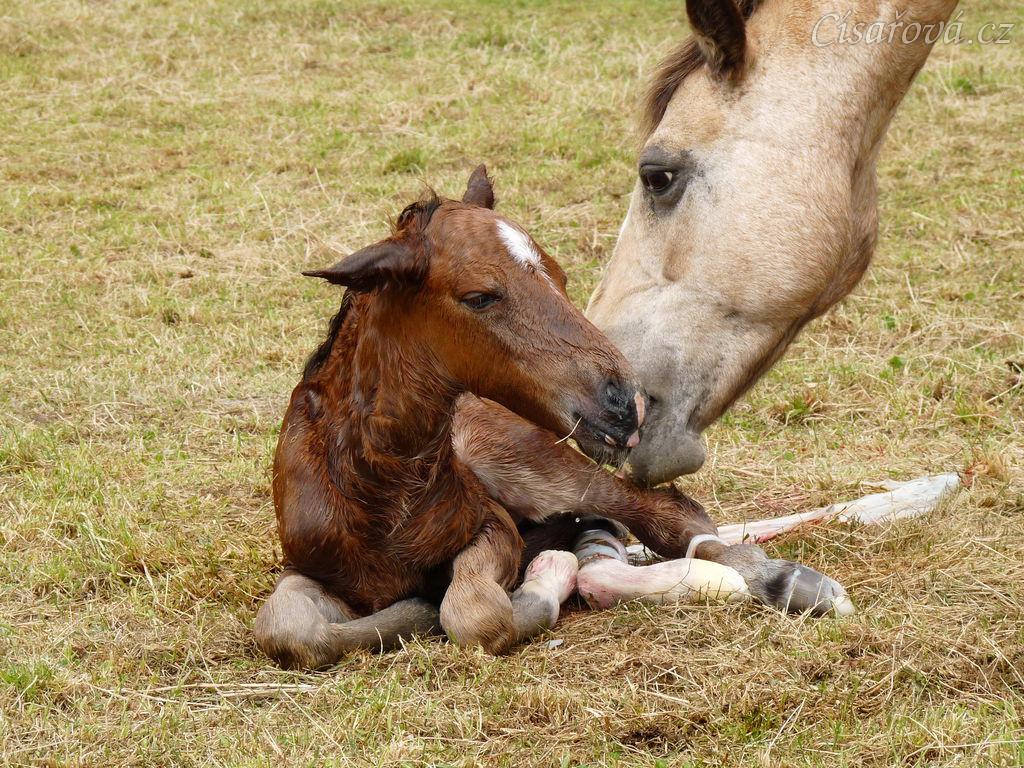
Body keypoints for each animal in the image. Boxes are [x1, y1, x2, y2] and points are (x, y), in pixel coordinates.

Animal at [255, 168, 852, 670]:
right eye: (479, 296)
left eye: (561, 277)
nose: (625, 402)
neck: (375, 490)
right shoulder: (312, 569)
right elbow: (287, 629)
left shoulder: (492, 525)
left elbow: (472, 613)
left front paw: (526, 586)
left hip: (529, 464)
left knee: (665, 515)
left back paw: (787, 582)